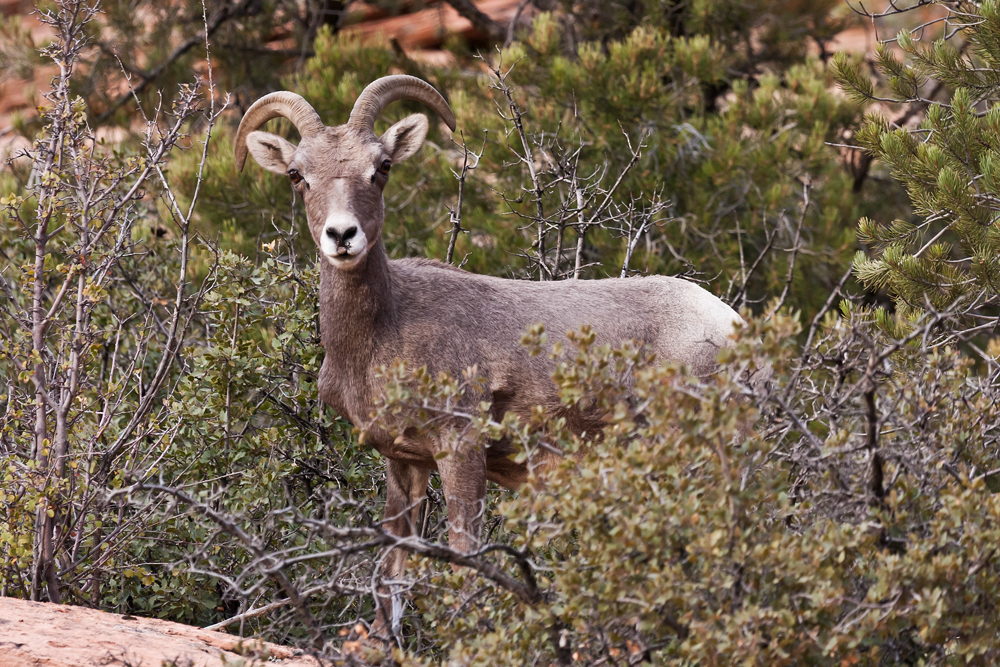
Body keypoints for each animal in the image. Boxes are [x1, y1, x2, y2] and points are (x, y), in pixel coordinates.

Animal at [236, 77, 744, 640]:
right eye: (297, 175)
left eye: (382, 167)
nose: (342, 236)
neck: (381, 335)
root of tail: (733, 327)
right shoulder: (405, 461)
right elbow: (392, 573)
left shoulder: (461, 451)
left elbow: (466, 560)